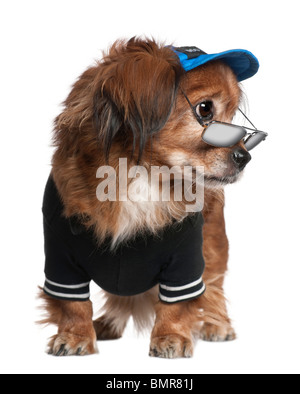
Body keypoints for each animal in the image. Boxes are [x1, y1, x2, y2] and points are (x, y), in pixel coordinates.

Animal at [39, 37, 258, 358]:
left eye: (233, 117)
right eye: (205, 109)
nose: (245, 157)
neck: (141, 176)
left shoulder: (186, 262)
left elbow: (177, 306)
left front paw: (171, 337)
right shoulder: (61, 259)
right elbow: (73, 305)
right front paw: (76, 335)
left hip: (213, 245)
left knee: (215, 286)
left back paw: (217, 325)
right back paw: (107, 323)